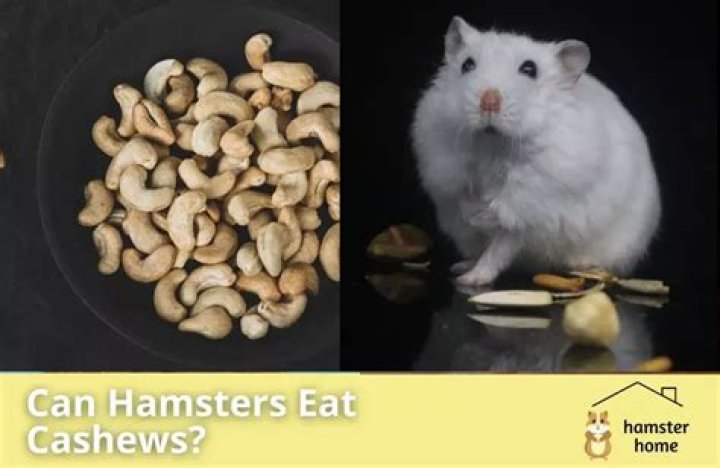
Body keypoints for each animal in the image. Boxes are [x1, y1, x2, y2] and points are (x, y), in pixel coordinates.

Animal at [411, 16, 661, 285]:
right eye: (467, 64)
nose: (489, 101)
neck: (493, 146)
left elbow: (501, 244)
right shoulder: (446, 168)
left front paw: (473, 277)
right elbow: (462, 196)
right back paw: (461, 266)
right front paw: (474, 216)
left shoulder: (530, 208)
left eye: (529, 69)